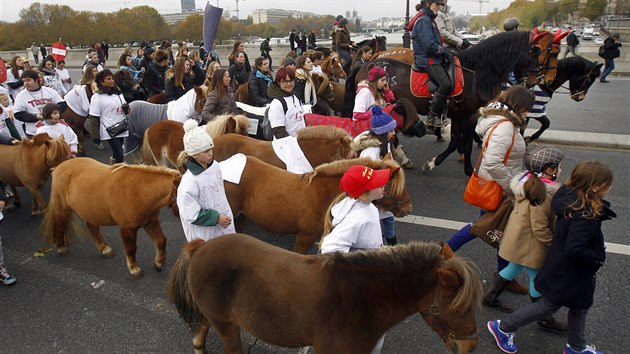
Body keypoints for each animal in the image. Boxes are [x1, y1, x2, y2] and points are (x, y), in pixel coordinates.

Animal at [41, 159, 181, 278]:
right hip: (62, 210)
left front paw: (158, 264)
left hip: (91, 210)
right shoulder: (128, 229)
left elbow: (161, 241)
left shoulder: (150, 222)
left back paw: (105, 249)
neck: (140, 192)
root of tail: (58, 167)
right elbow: (131, 249)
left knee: (93, 228)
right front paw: (134, 269)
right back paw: (61, 248)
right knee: (59, 226)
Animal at [346, 30, 556, 176]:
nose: (534, 81)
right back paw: (402, 157)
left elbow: (458, 140)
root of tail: (366, 65)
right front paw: (450, 166)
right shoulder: (469, 115)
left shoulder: (459, 116)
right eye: (534, 52)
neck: (475, 74)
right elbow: (460, 142)